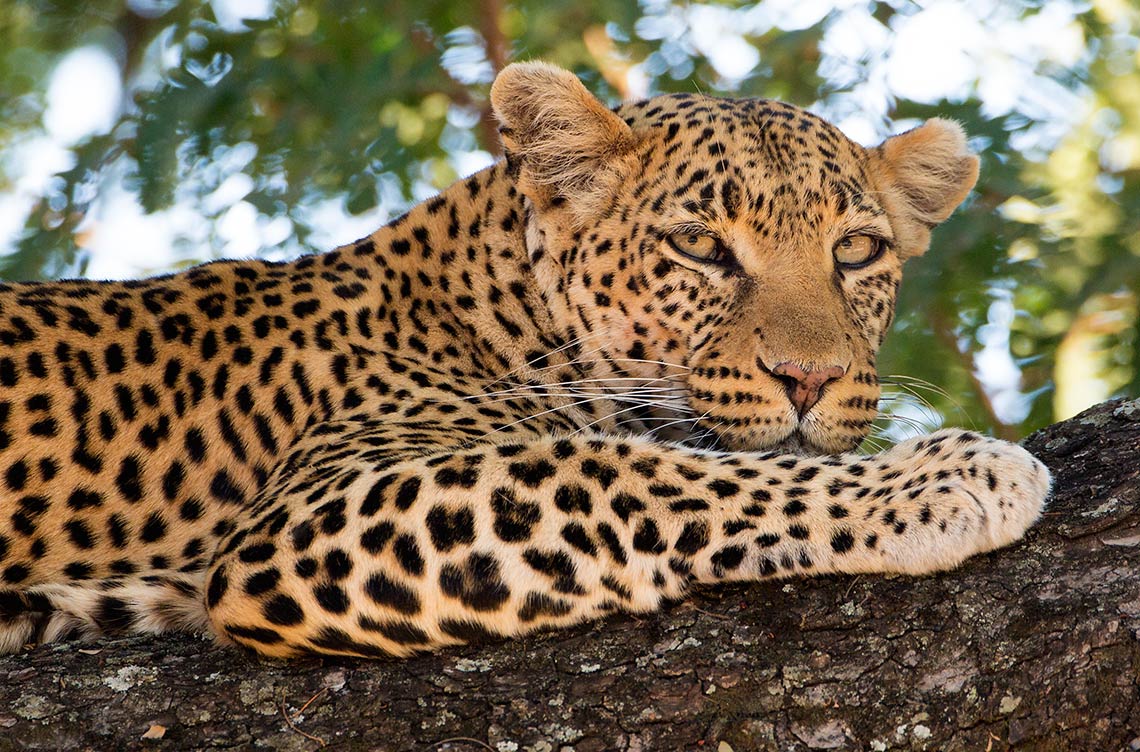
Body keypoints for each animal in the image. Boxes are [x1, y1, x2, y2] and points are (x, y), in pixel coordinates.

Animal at [0, 62, 1050, 658]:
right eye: (700, 246)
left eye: (858, 251)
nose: (812, 380)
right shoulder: (308, 514)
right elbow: (638, 472)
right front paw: (948, 476)